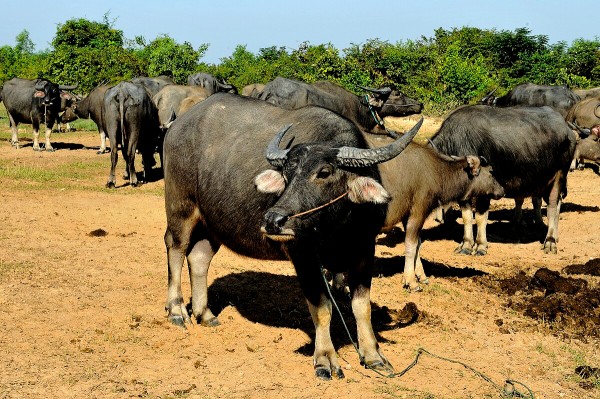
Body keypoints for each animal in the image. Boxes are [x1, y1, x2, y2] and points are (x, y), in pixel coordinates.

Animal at [162, 93, 420, 382]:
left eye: (324, 172)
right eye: (287, 173)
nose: (273, 220)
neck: (338, 228)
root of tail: (177, 126)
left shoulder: (364, 250)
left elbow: (361, 307)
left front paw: (373, 355)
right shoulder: (304, 256)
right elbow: (322, 308)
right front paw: (325, 359)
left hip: (212, 222)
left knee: (199, 256)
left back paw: (204, 313)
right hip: (180, 206)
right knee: (176, 247)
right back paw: (176, 310)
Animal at [428, 106, 576, 255]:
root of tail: (568, 130)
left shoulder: (485, 193)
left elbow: (480, 217)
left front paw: (480, 245)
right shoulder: (464, 194)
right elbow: (467, 216)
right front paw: (466, 245)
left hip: (559, 176)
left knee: (552, 207)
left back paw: (550, 242)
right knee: (556, 204)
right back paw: (554, 237)